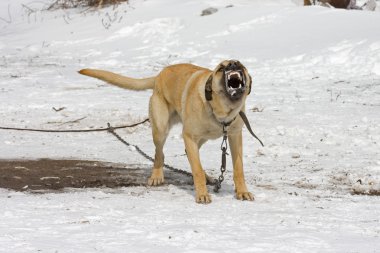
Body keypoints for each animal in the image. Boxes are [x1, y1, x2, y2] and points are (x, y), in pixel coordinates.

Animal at [78, 60, 254, 204]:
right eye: (221, 68)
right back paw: (157, 176)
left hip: (199, 137)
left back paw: (207, 177)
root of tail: (159, 75)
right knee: (159, 154)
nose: (233, 64)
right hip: (161, 129)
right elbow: (196, 169)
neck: (221, 112)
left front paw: (242, 192)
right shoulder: (189, 136)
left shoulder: (235, 136)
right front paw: (202, 194)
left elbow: (238, 169)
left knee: (188, 154)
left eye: (240, 64)